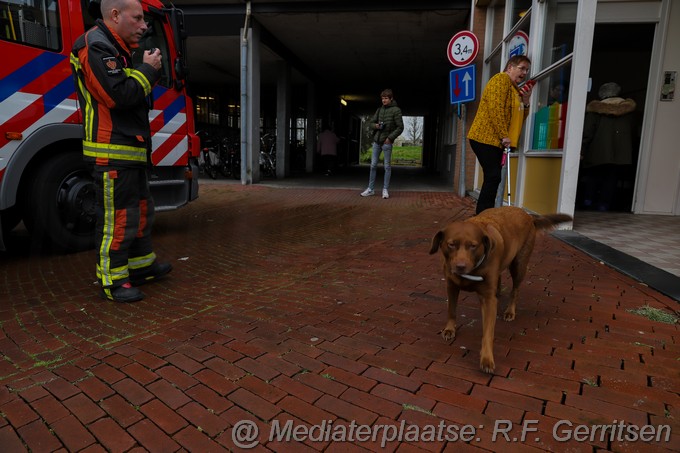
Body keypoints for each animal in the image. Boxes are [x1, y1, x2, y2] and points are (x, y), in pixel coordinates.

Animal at [430, 207, 572, 372]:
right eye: (451, 244)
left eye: (473, 246)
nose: (460, 267)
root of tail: (528, 216)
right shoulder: (451, 286)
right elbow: (451, 310)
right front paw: (449, 329)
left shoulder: (488, 300)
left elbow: (488, 333)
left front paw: (487, 359)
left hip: (519, 265)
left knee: (515, 290)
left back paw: (510, 311)